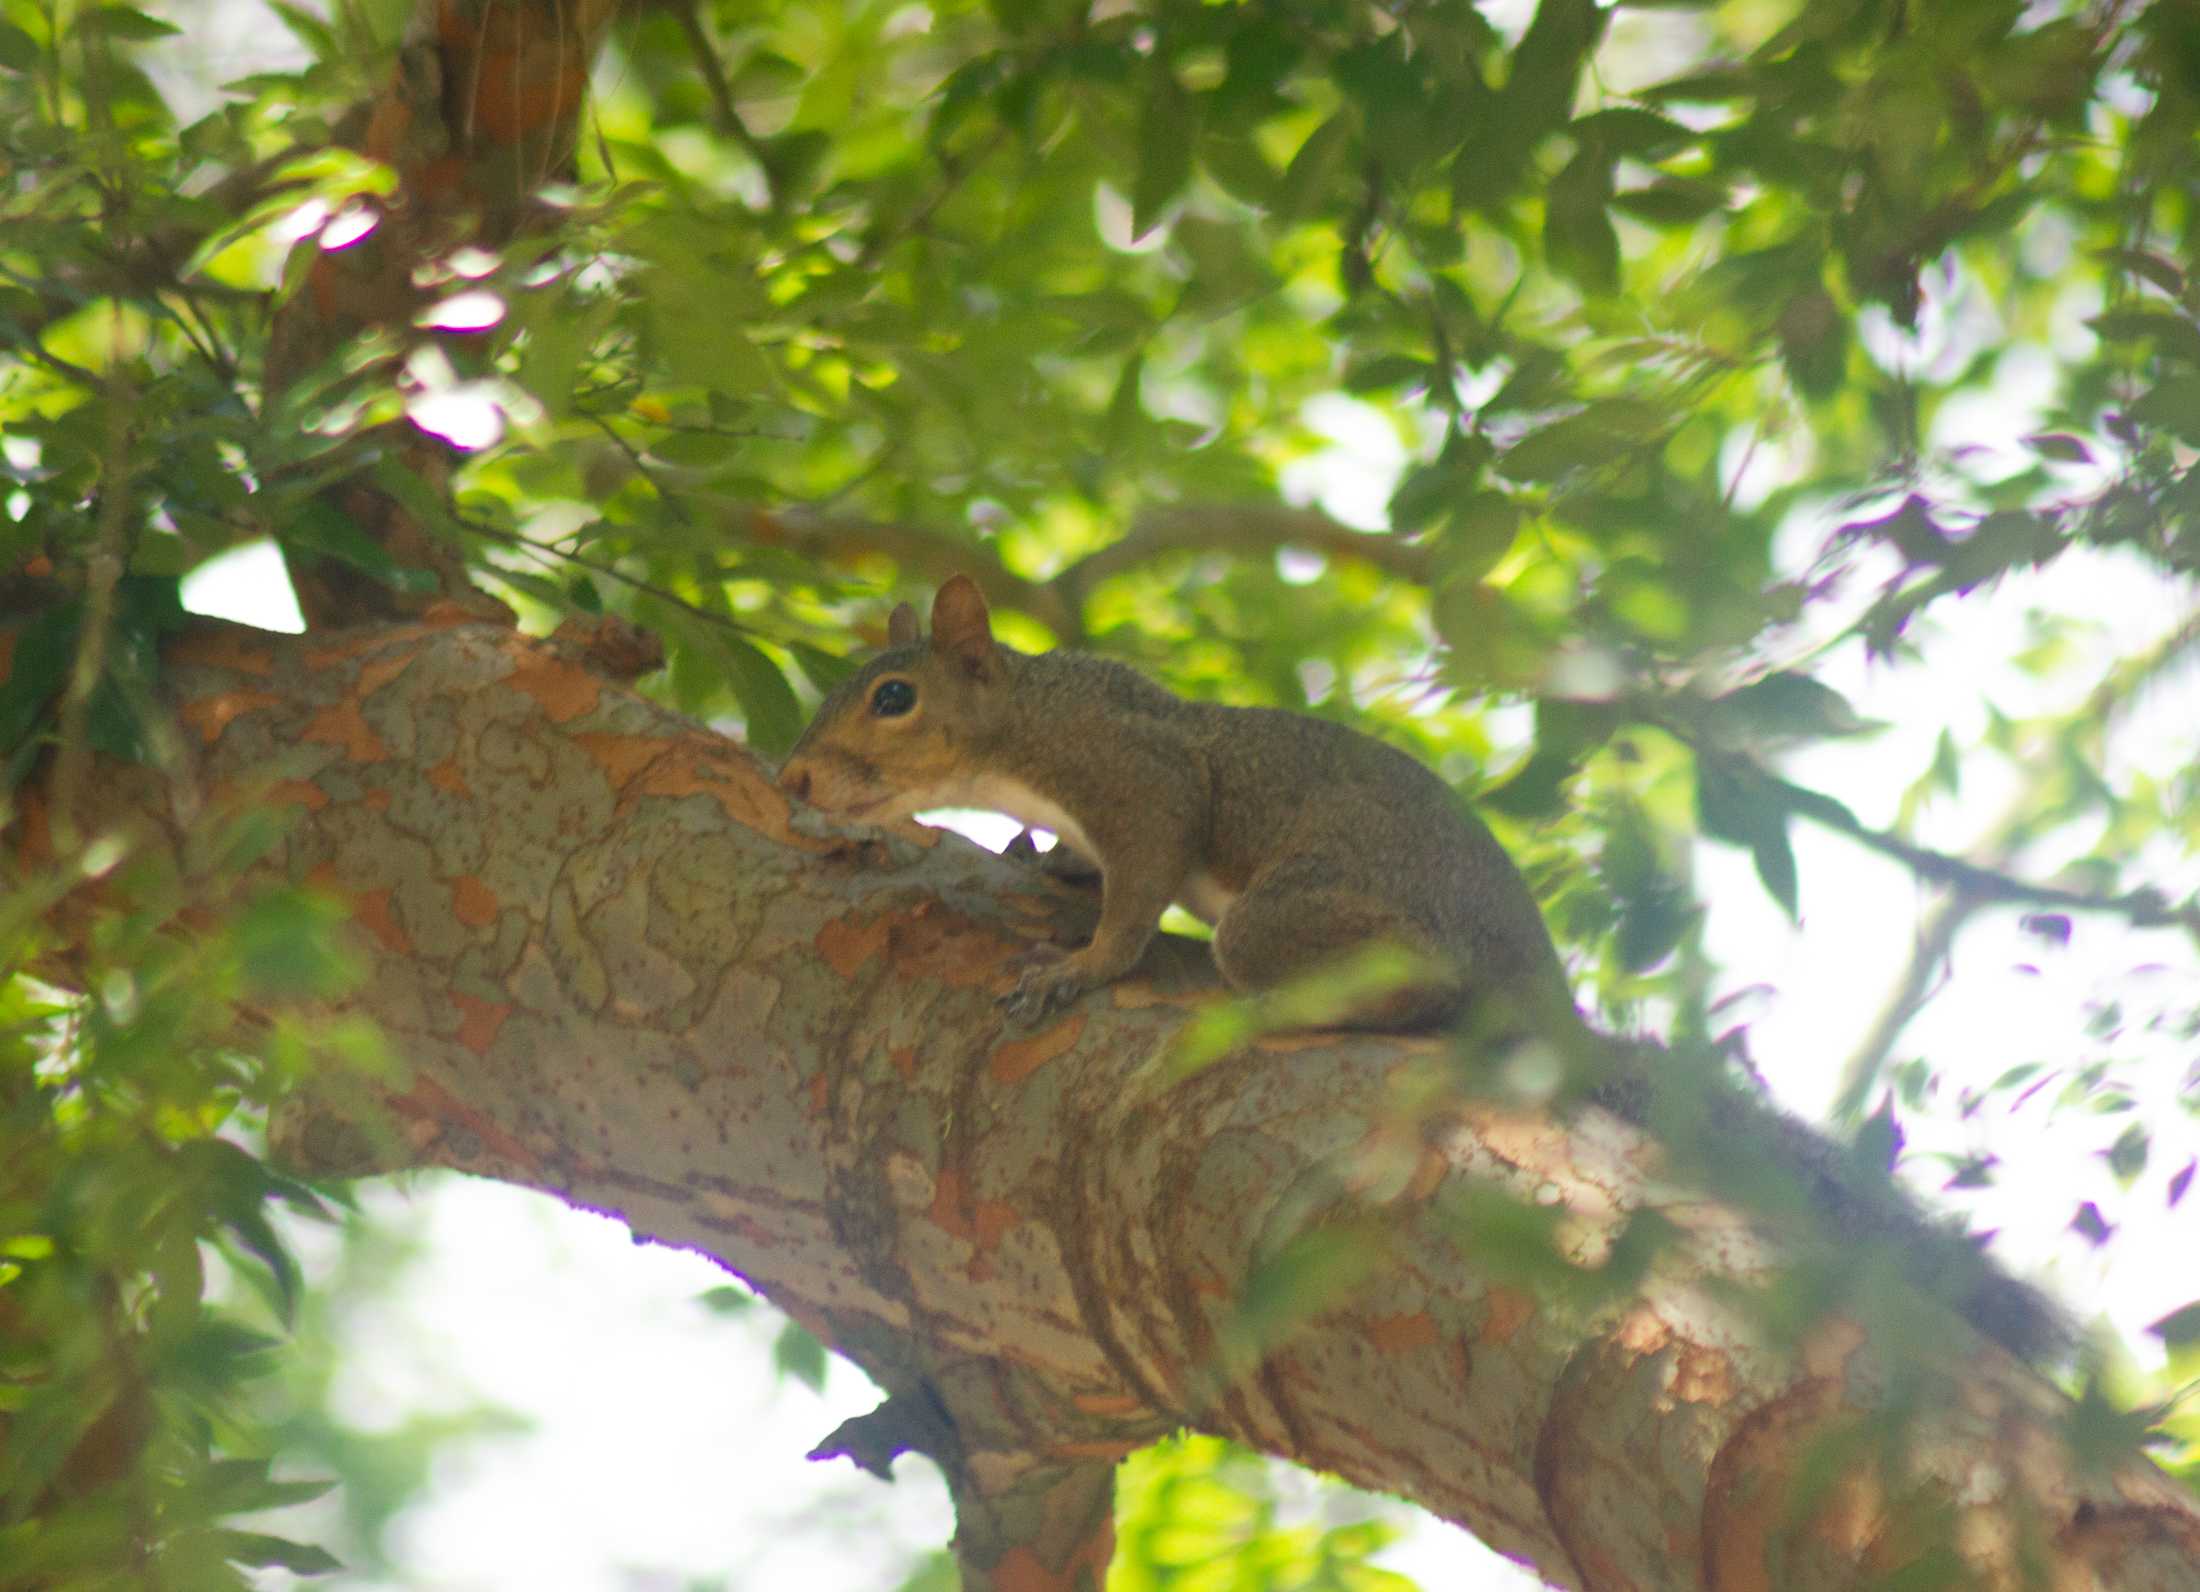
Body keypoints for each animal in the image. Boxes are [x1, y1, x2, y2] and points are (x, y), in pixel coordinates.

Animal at [783, 571, 1575, 1033]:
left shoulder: (1143, 781)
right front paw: (1045, 860)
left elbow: (1138, 895)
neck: (1030, 724)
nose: (794, 779)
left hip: (1308, 910)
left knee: (1431, 987)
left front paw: (1079, 967)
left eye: (894, 698)